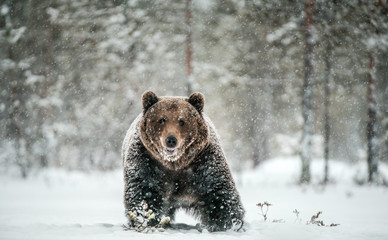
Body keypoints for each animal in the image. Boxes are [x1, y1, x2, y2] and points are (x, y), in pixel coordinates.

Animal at [121, 91, 244, 232]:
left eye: (181, 121)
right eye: (162, 119)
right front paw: (147, 220)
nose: (171, 140)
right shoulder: (147, 161)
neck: (175, 163)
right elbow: (145, 191)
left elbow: (217, 192)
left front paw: (228, 223)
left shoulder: (204, 162)